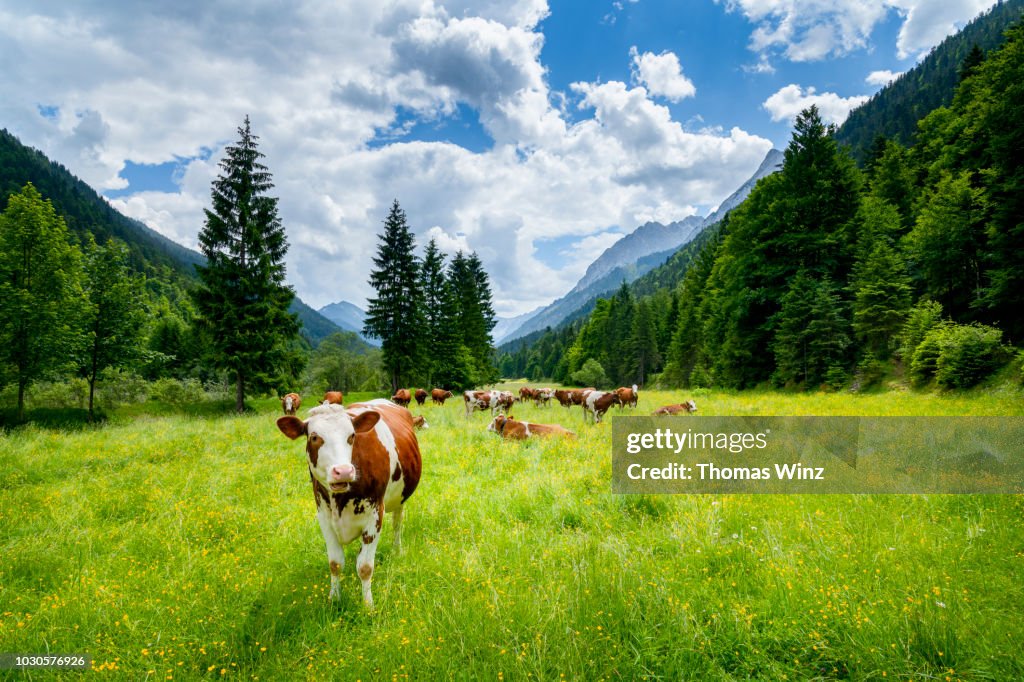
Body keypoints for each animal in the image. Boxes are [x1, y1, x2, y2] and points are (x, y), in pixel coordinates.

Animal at [274, 399, 421, 606]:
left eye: (351, 436)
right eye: (314, 437)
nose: (343, 471)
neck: (340, 500)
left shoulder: (375, 515)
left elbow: (365, 567)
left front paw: (368, 605)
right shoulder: (324, 516)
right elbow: (335, 563)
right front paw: (334, 598)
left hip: (400, 497)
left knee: (397, 524)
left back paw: (397, 549)